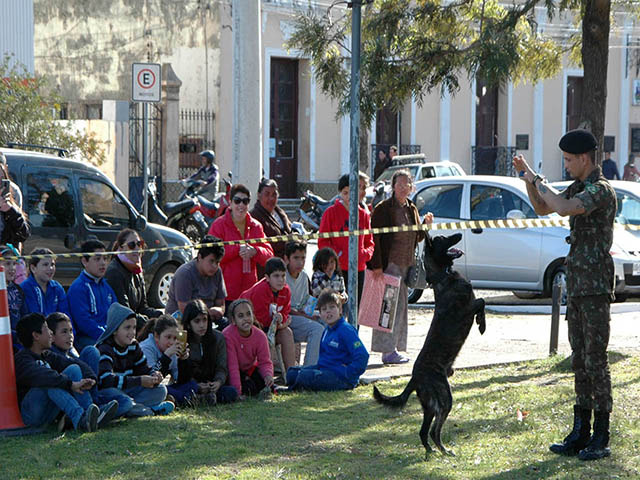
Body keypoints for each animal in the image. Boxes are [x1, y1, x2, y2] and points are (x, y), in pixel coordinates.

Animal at [370, 234, 484, 460]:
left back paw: (432, 450)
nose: (459, 234)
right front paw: (481, 325)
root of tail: (414, 378)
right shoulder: (468, 307)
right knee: (433, 430)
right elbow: (483, 302)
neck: (443, 276)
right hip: (444, 398)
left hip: (430, 405)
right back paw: (444, 450)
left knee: (423, 431)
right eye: (443, 239)